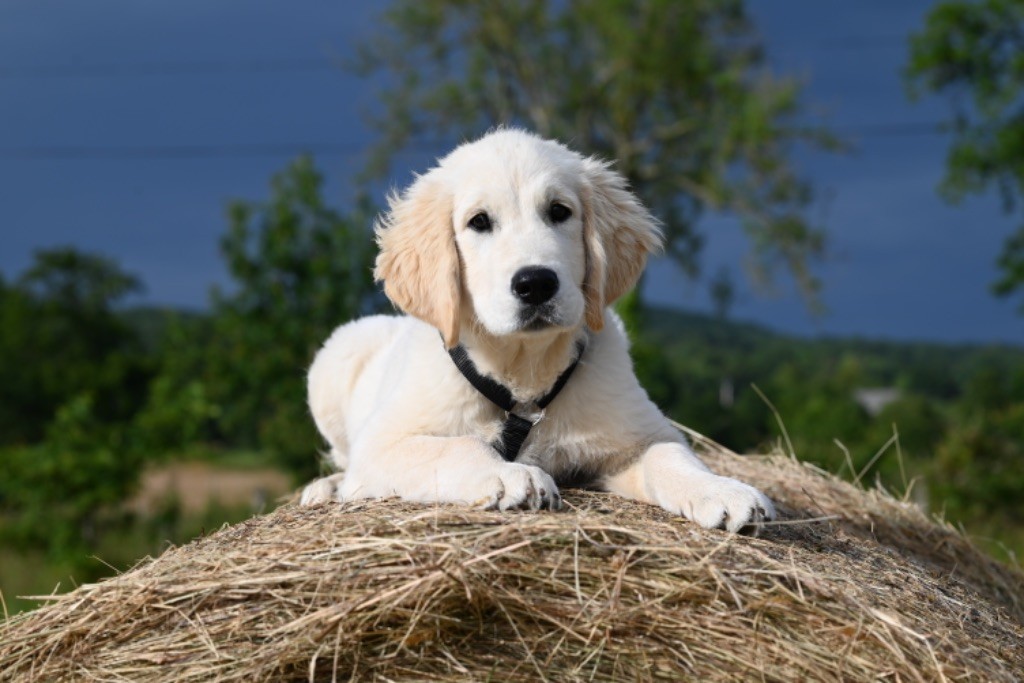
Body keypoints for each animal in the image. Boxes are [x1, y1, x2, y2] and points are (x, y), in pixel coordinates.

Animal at [303, 129, 774, 532]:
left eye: (559, 212)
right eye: (479, 221)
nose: (536, 284)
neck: (524, 368)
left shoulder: (637, 435)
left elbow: (671, 455)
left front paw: (722, 490)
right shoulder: (382, 444)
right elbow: (455, 445)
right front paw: (509, 476)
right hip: (335, 357)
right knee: (342, 460)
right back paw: (326, 488)